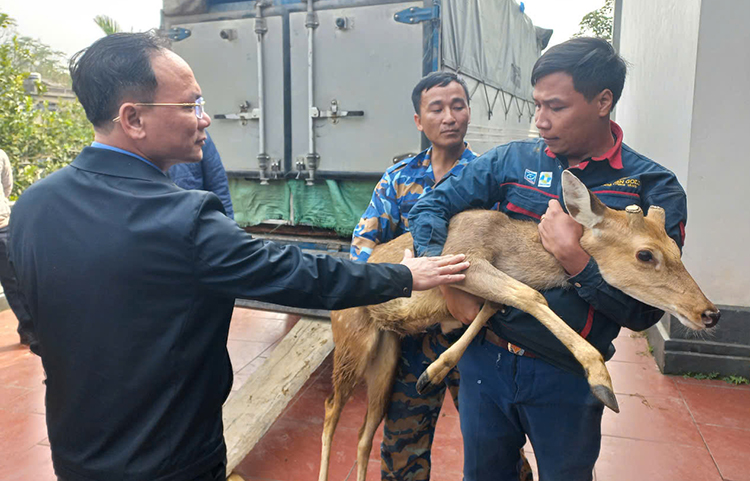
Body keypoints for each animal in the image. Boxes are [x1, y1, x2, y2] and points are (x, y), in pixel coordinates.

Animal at [316, 171, 716, 480]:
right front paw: (601, 381)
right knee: (331, 410)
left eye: (677, 248)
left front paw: (433, 371)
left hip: (385, 356)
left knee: (365, 432)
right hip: (351, 340)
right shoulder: (463, 258)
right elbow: (529, 295)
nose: (709, 313)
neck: (510, 252)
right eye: (645, 254)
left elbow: (493, 306)